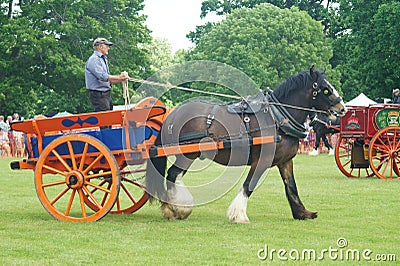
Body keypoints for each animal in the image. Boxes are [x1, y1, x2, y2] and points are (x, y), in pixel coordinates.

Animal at [145, 66, 346, 222]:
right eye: (325, 89)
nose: (342, 108)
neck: (277, 117)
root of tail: (173, 113)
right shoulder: (262, 160)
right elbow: (249, 185)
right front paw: (238, 215)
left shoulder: (285, 161)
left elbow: (291, 187)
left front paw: (302, 213)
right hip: (188, 154)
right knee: (173, 174)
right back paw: (178, 208)